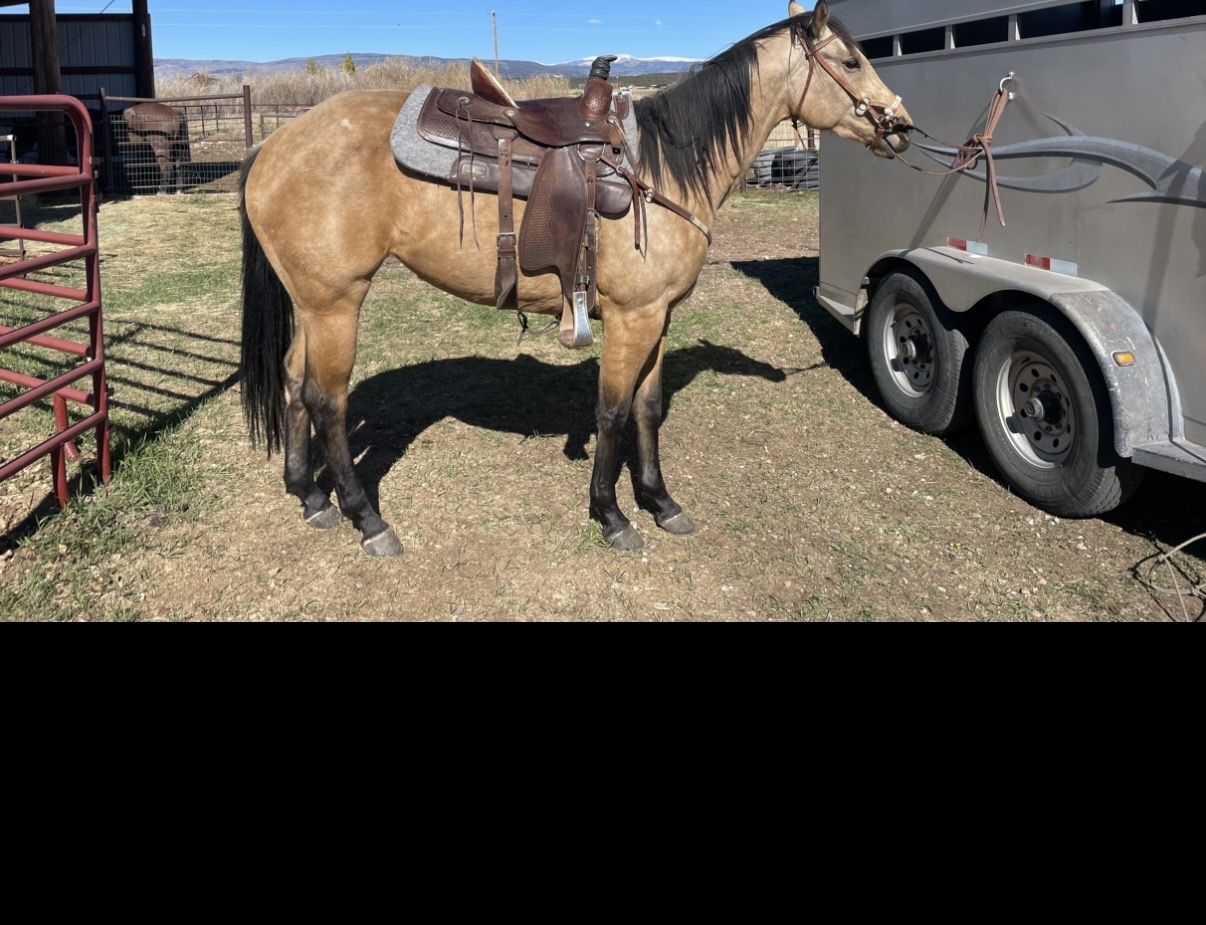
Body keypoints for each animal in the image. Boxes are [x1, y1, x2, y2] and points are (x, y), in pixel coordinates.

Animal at [239, 1, 912, 556]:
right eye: (851, 60)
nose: (901, 125)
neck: (662, 168)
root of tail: (273, 145)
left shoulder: (658, 317)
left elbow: (647, 409)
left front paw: (661, 503)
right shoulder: (632, 319)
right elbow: (612, 412)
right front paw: (612, 514)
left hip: (313, 305)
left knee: (294, 382)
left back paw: (311, 497)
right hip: (337, 303)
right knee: (326, 401)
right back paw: (367, 520)